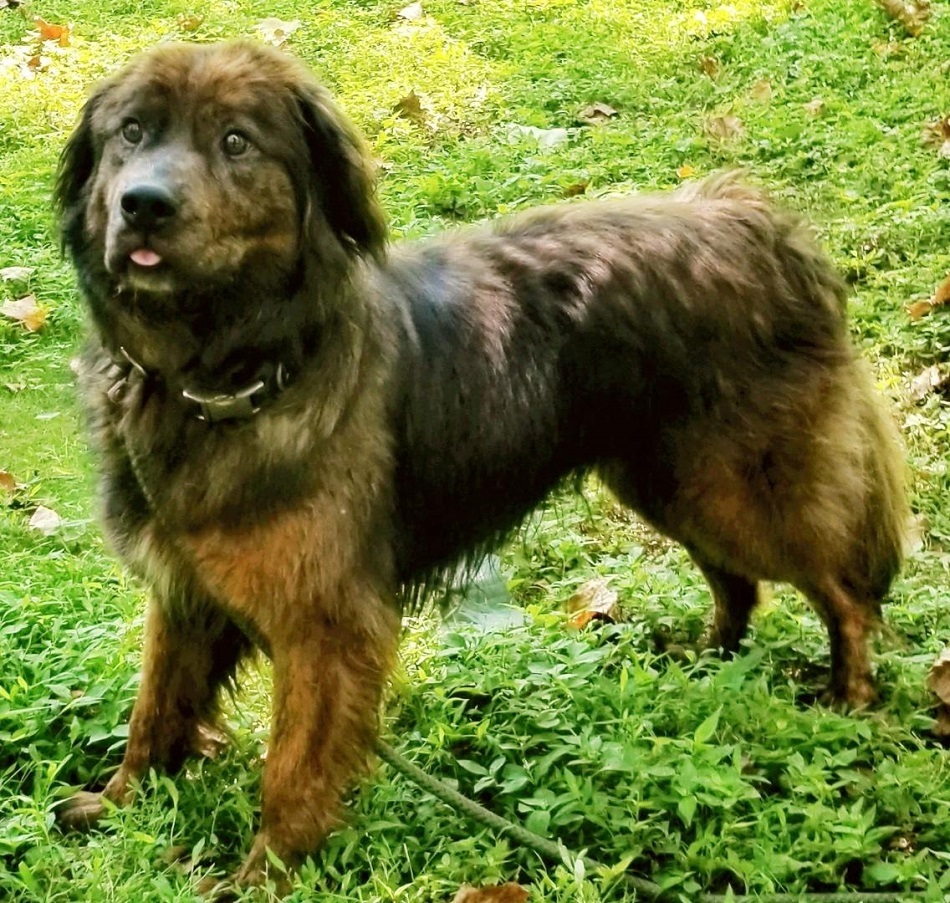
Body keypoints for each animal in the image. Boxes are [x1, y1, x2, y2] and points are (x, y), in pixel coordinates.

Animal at [55, 40, 912, 888]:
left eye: (236, 141)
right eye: (131, 132)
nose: (144, 204)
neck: (229, 370)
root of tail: (754, 220)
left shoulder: (326, 620)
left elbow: (291, 768)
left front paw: (264, 875)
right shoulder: (184, 586)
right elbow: (156, 706)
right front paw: (122, 802)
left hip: (741, 486)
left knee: (844, 591)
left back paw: (850, 696)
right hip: (666, 479)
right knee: (738, 580)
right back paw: (711, 657)